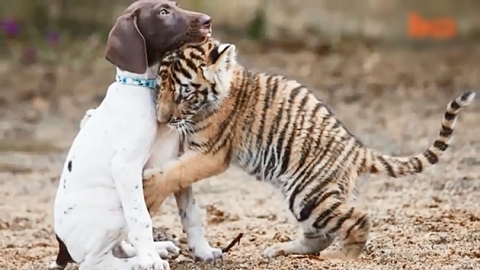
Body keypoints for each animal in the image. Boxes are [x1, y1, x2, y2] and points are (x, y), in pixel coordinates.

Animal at [48, 2, 219, 270]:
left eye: (177, 5)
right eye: (163, 12)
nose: (207, 20)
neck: (149, 90)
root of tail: (62, 247)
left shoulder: (178, 164)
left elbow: (191, 213)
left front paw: (203, 250)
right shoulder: (126, 168)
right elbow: (141, 219)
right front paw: (150, 260)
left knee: (119, 246)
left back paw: (155, 249)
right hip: (114, 210)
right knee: (94, 262)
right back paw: (139, 261)